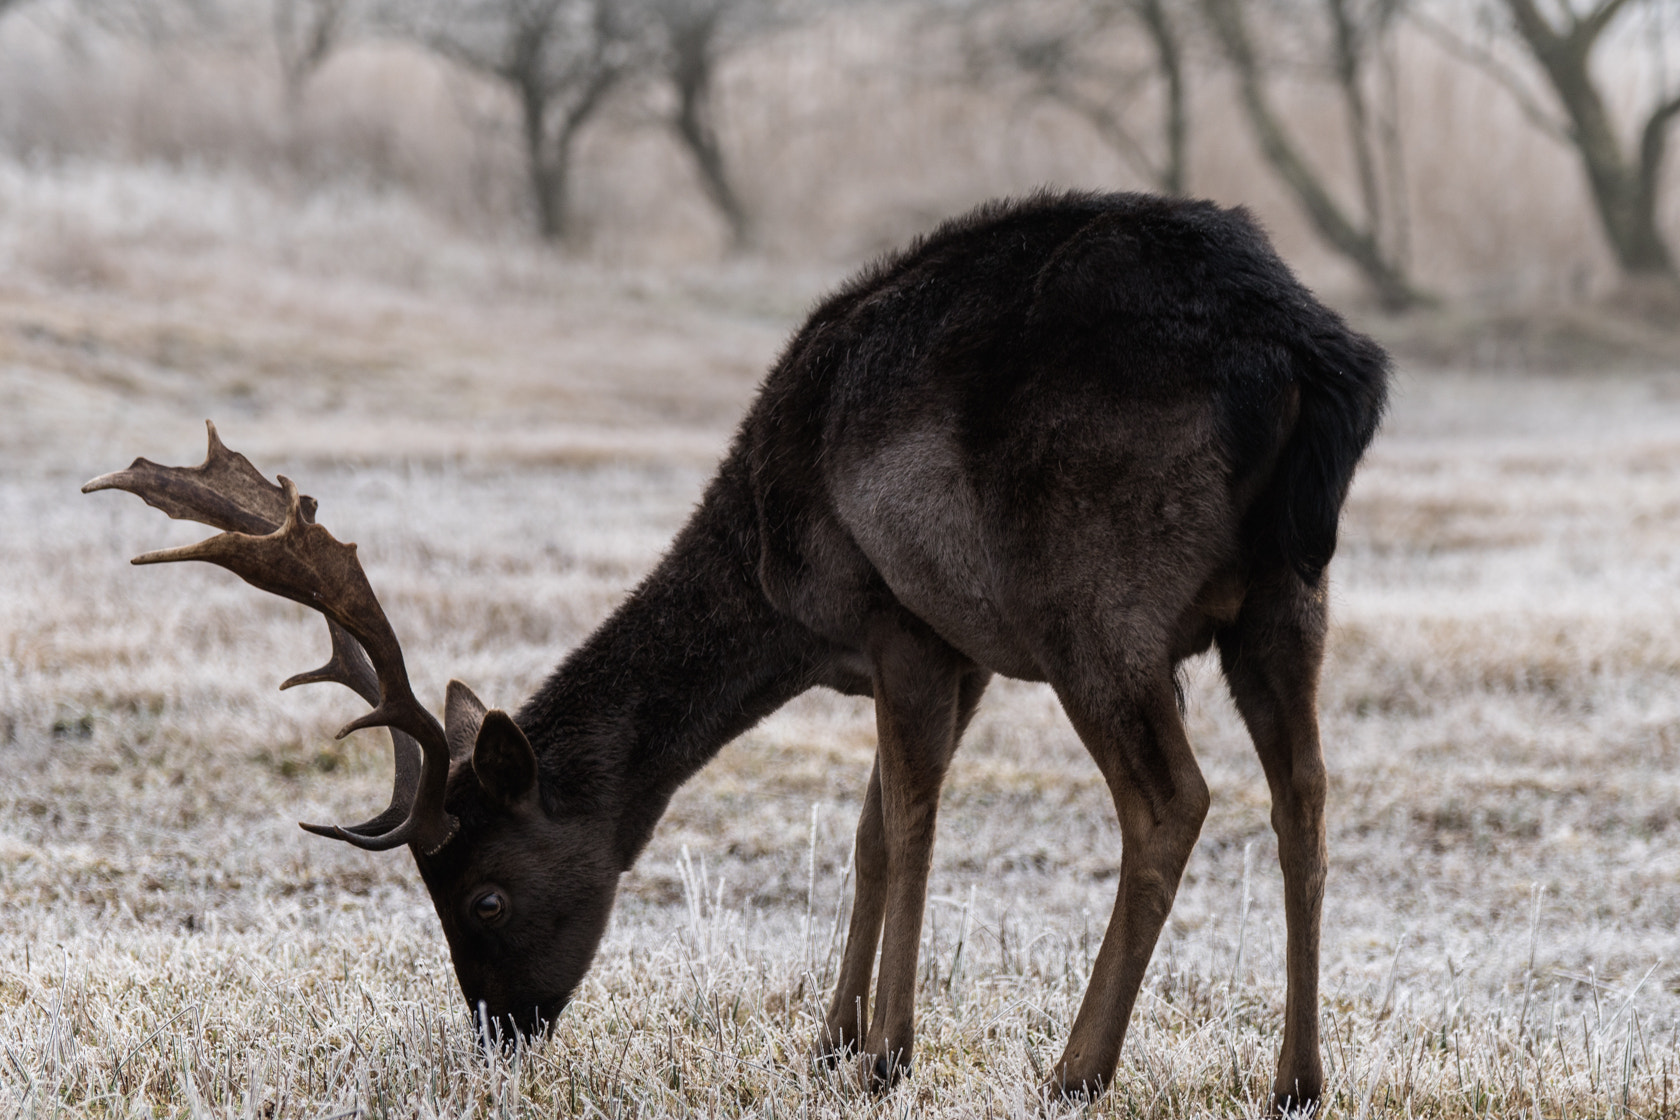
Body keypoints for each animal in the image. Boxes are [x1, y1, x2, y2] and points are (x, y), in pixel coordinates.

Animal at [85, 190, 1384, 1114]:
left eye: (485, 890)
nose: (501, 1034)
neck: (781, 589)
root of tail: (1317, 359)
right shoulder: (950, 652)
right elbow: (868, 834)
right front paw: (831, 1041)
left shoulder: (906, 618)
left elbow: (909, 826)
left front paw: (886, 1054)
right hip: (1289, 594)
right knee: (1307, 793)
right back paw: (1297, 1080)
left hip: (1096, 601)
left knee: (1175, 798)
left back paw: (1076, 1070)